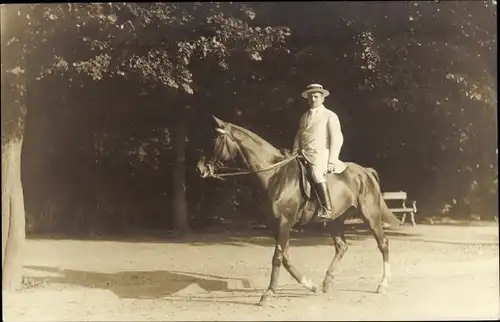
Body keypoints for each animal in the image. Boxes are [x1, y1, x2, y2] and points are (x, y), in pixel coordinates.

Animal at [196, 115, 402, 304]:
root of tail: (365, 172)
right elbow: (285, 258)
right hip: (335, 220)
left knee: (383, 244)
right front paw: (311, 286)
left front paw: (268, 294)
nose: (200, 169)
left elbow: (277, 257)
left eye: (214, 140)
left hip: (370, 216)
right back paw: (326, 283)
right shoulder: (276, 225)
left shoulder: (284, 223)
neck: (274, 175)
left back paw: (383, 285)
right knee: (341, 247)